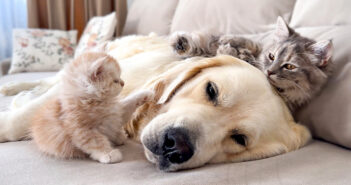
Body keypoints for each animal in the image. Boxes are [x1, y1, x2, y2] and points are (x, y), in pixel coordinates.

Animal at [0, 34, 310, 171]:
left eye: (240, 139)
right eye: (211, 90)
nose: (175, 145)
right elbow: (25, 117)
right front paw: (6, 123)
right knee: (46, 82)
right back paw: (14, 89)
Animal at [172, 17, 334, 112]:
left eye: (289, 67)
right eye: (271, 56)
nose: (269, 71)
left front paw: (229, 50)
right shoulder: (255, 45)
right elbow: (243, 43)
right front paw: (228, 42)